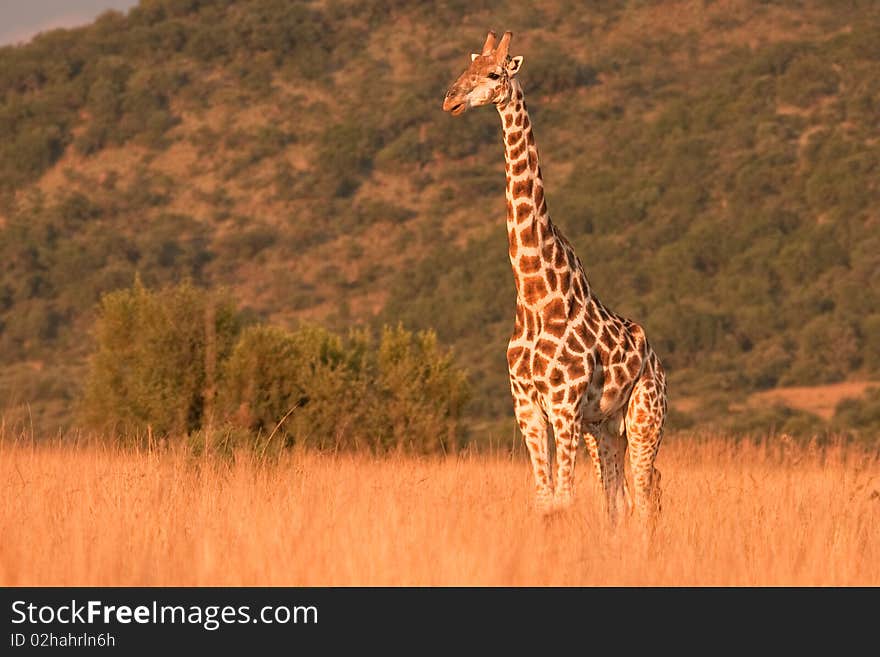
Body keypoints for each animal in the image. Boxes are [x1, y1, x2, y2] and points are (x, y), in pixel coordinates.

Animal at [444, 30, 664, 524]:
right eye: (465, 67)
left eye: (494, 73)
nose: (450, 99)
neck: (533, 294)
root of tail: (657, 361)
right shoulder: (527, 405)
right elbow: (545, 500)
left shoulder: (563, 405)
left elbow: (562, 498)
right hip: (604, 428)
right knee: (617, 500)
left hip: (645, 420)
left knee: (646, 498)